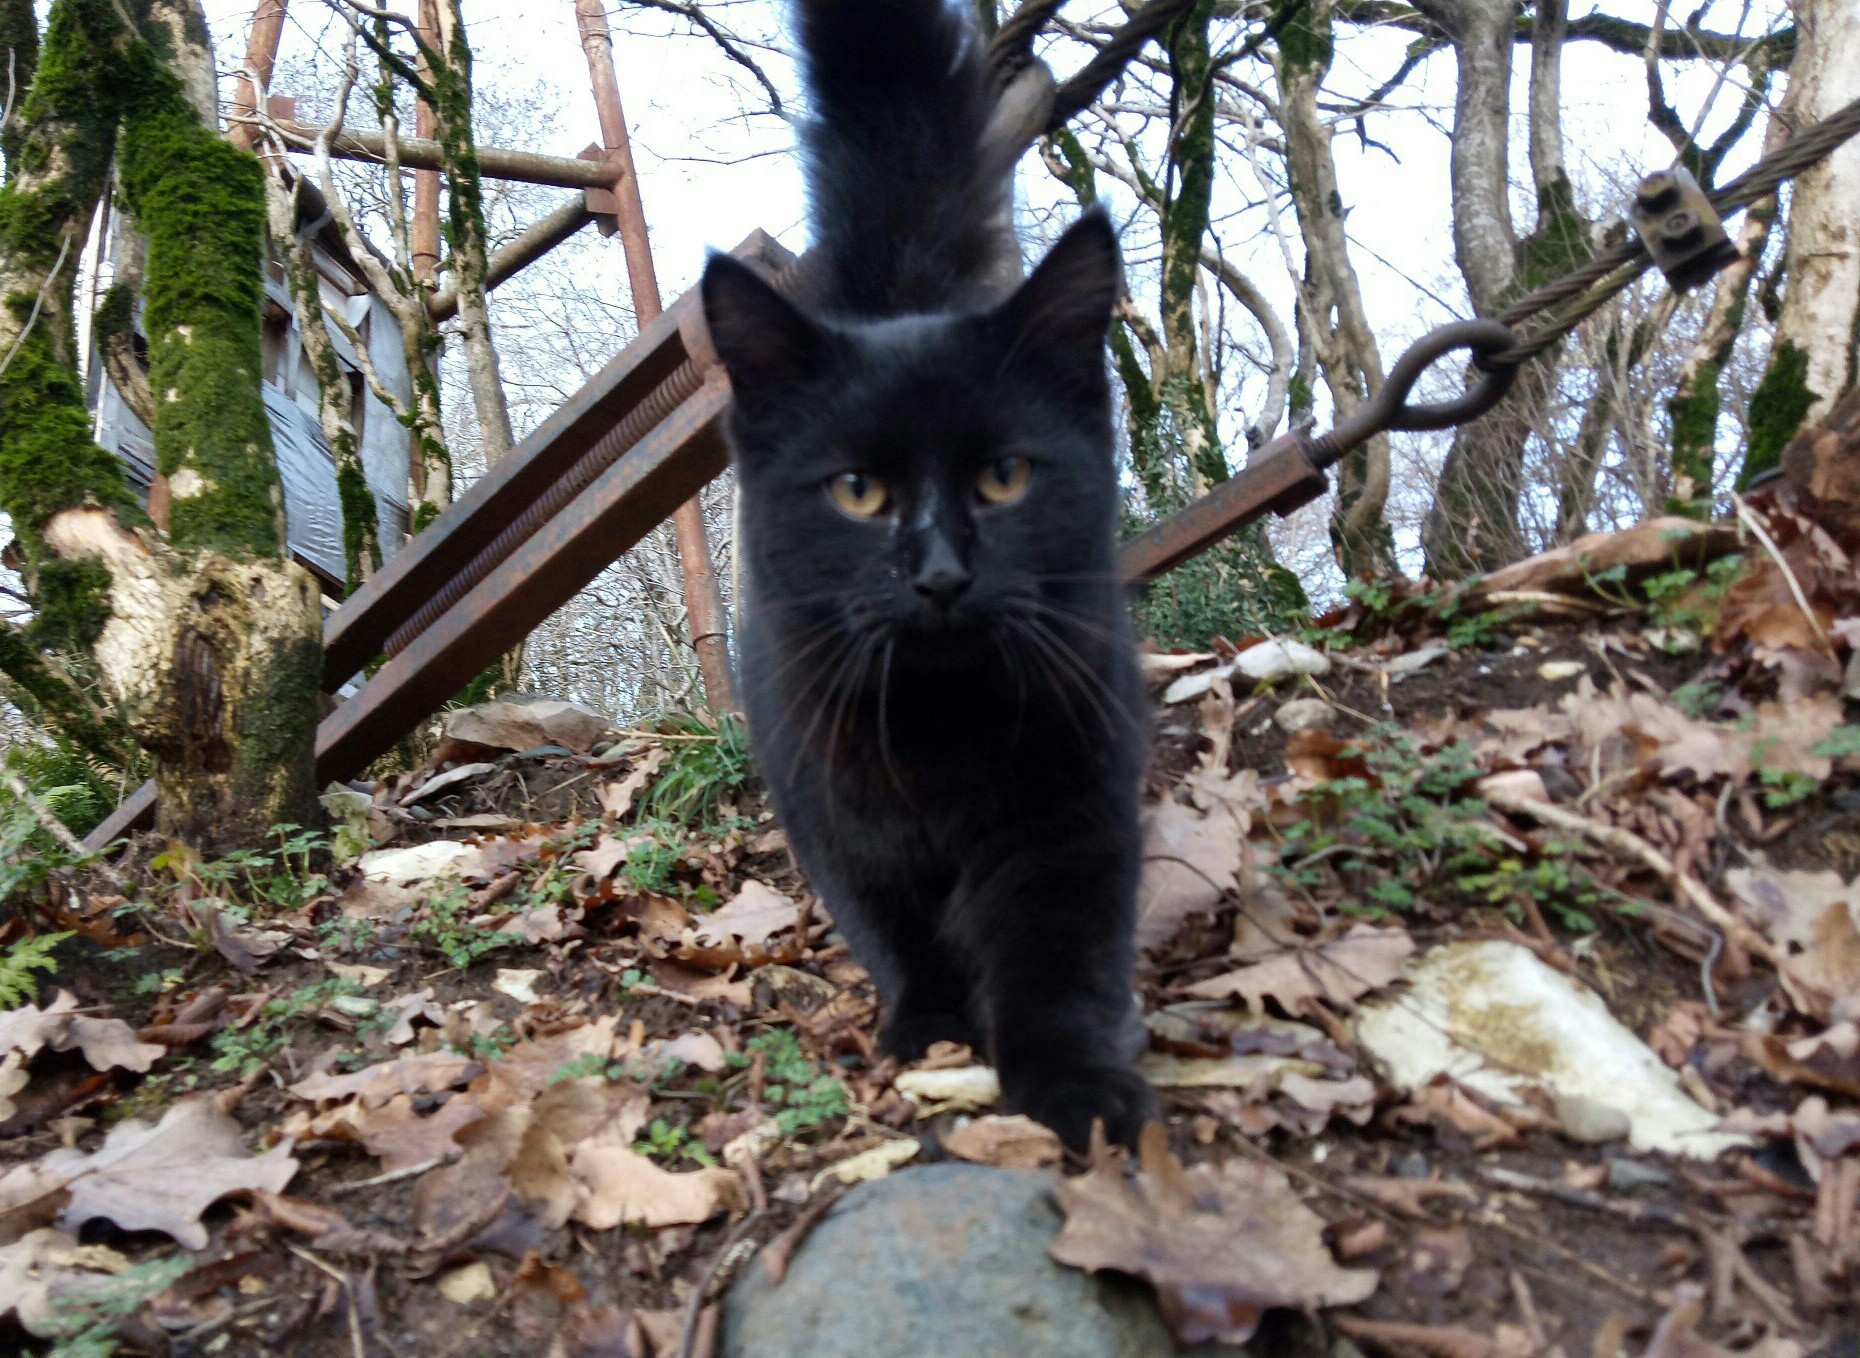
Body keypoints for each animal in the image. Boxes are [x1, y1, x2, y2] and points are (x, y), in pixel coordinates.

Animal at [703, 0, 1153, 1145]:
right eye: (858, 490)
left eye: (1003, 476)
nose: (941, 574)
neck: (939, 727)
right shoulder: (824, 800)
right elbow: (889, 921)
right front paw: (931, 1027)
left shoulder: (1071, 798)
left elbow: (1059, 949)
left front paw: (1077, 1084)